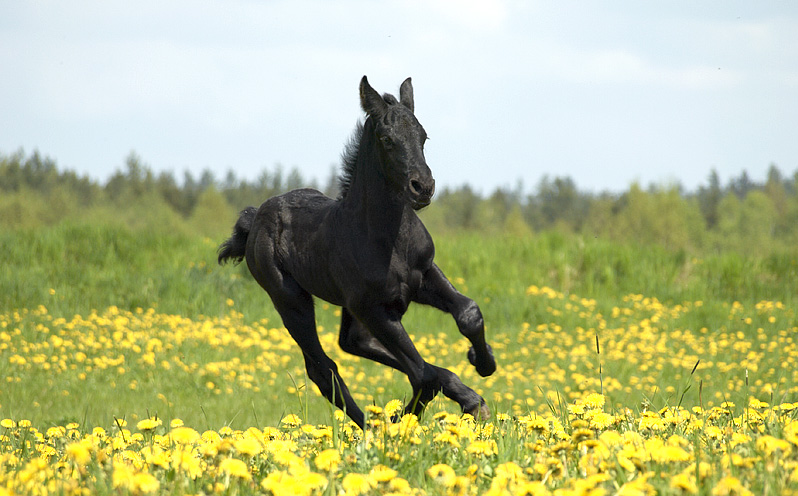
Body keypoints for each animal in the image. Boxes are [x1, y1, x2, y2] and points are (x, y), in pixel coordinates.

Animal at [217, 76, 494, 426]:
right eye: (387, 139)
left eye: (423, 135)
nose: (423, 187)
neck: (388, 238)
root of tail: (255, 219)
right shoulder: (372, 306)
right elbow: (423, 376)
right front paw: (404, 420)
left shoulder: (423, 275)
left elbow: (468, 313)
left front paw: (482, 362)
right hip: (290, 299)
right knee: (324, 369)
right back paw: (370, 427)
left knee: (354, 342)